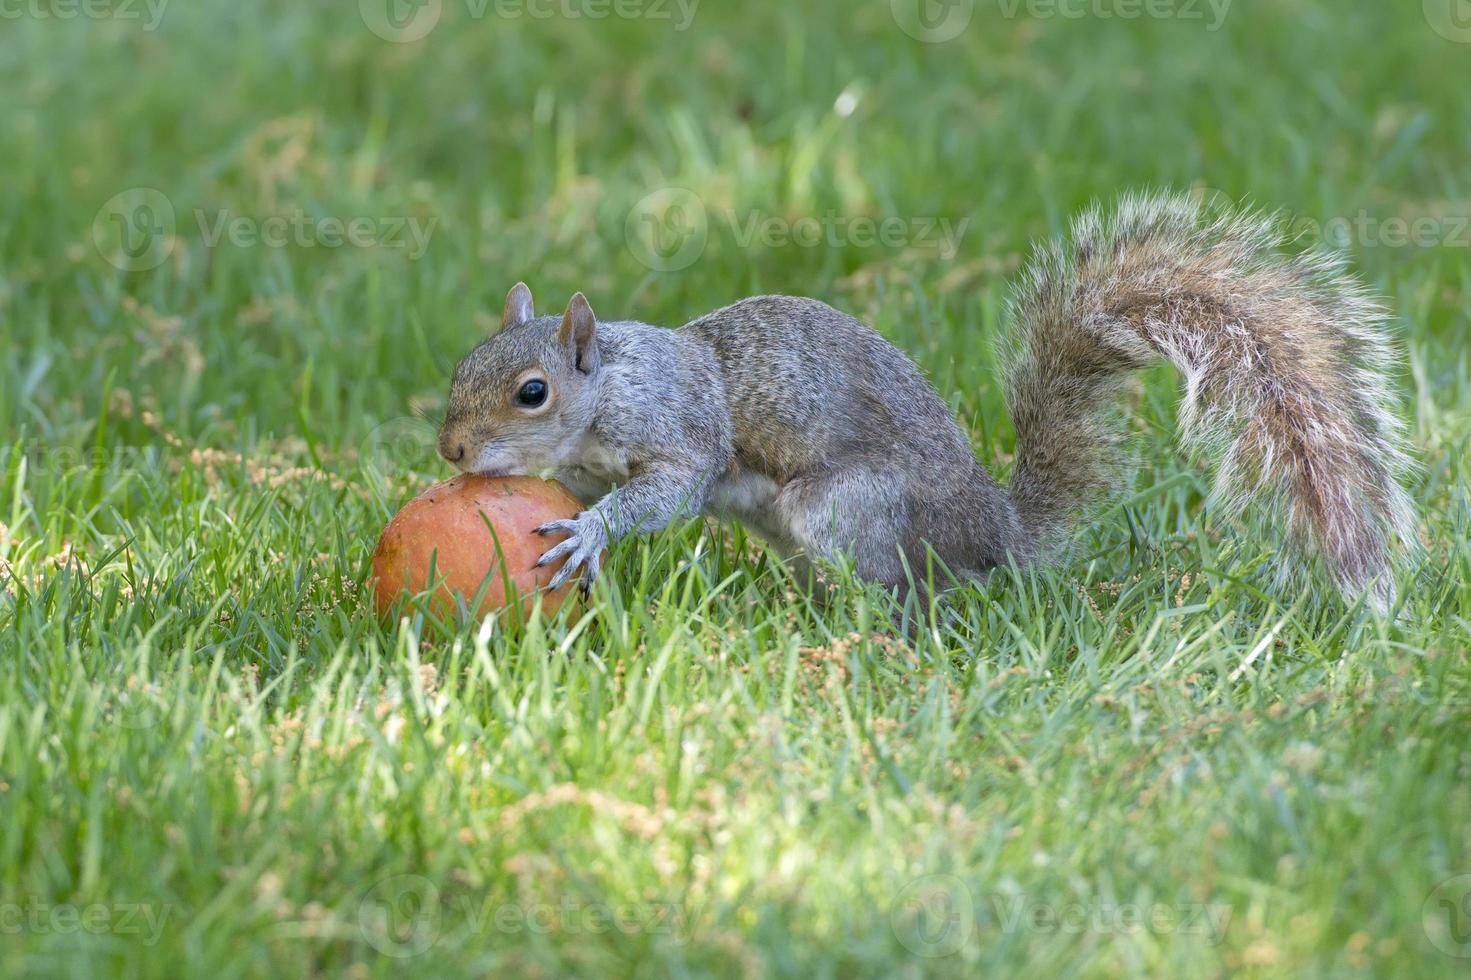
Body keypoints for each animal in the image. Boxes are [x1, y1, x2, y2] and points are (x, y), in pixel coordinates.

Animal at [432, 191, 1412, 606]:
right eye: (461, 366)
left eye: (531, 392)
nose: (449, 452)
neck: (609, 384)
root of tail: (992, 532)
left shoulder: (676, 427)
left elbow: (669, 486)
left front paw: (589, 534)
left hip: (845, 508)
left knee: (904, 593)